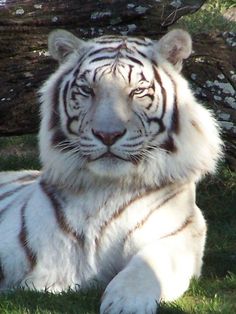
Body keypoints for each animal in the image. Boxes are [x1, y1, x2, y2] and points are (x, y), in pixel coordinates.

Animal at [0, 28, 222, 312]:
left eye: (138, 91)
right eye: (87, 90)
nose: (108, 134)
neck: (106, 187)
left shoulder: (180, 233)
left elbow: (148, 264)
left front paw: (125, 303)